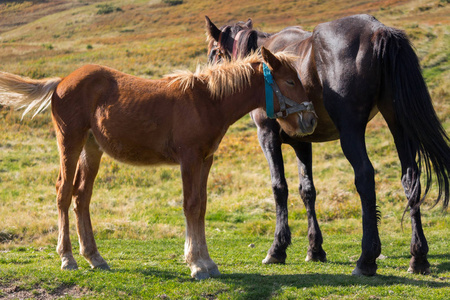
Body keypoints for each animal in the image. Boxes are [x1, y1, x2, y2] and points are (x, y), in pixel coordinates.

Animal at [206, 15, 448, 276]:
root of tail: (378, 31)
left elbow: (279, 187)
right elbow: (307, 191)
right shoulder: (302, 140)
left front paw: (278, 248)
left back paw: (366, 259)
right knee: (410, 178)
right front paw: (315, 249)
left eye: (213, 52)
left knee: (365, 177)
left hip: (351, 130)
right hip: (398, 125)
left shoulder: (267, 134)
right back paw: (418, 256)